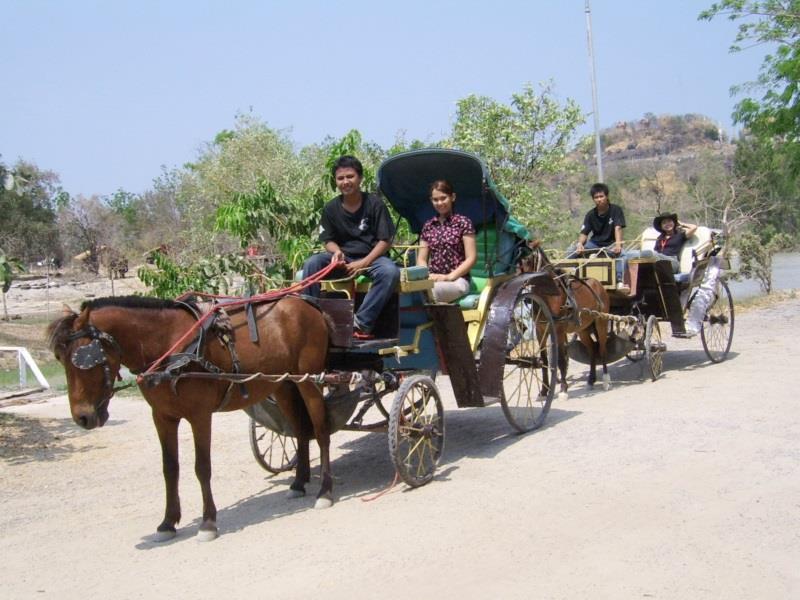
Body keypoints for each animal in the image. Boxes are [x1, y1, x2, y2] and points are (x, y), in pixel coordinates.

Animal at [47, 292, 332, 540]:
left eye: (83, 357)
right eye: (60, 358)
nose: (82, 417)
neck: (170, 344)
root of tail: (309, 305)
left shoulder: (199, 415)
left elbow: (202, 467)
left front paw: (208, 523)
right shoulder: (162, 417)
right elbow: (170, 468)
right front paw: (167, 522)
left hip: (310, 381)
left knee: (321, 432)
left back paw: (325, 491)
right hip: (283, 384)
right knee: (300, 430)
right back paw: (299, 483)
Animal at [520, 244, 608, 398]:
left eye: (528, 259)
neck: (549, 295)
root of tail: (598, 284)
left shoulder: (559, 330)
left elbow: (561, 359)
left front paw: (563, 389)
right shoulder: (540, 330)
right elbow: (544, 360)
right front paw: (544, 390)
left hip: (601, 323)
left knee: (602, 349)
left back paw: (606, 381)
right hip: (583, 329)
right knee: (592, 349)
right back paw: (591, 380)